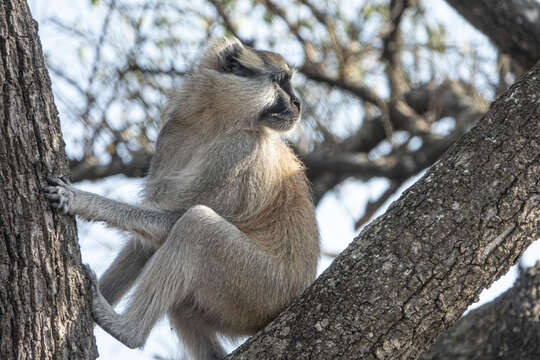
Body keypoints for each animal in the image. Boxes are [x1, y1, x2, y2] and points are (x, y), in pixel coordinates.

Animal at [43, 37, 320, 360]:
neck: (216, 120)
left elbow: (170, 221)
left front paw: (78, 199)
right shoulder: (173, 135)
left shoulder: (239, 151)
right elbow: (146, 242)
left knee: (196, 226)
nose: (298, 102)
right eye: (280, 81)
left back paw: (126, 330)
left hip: (259, 288)